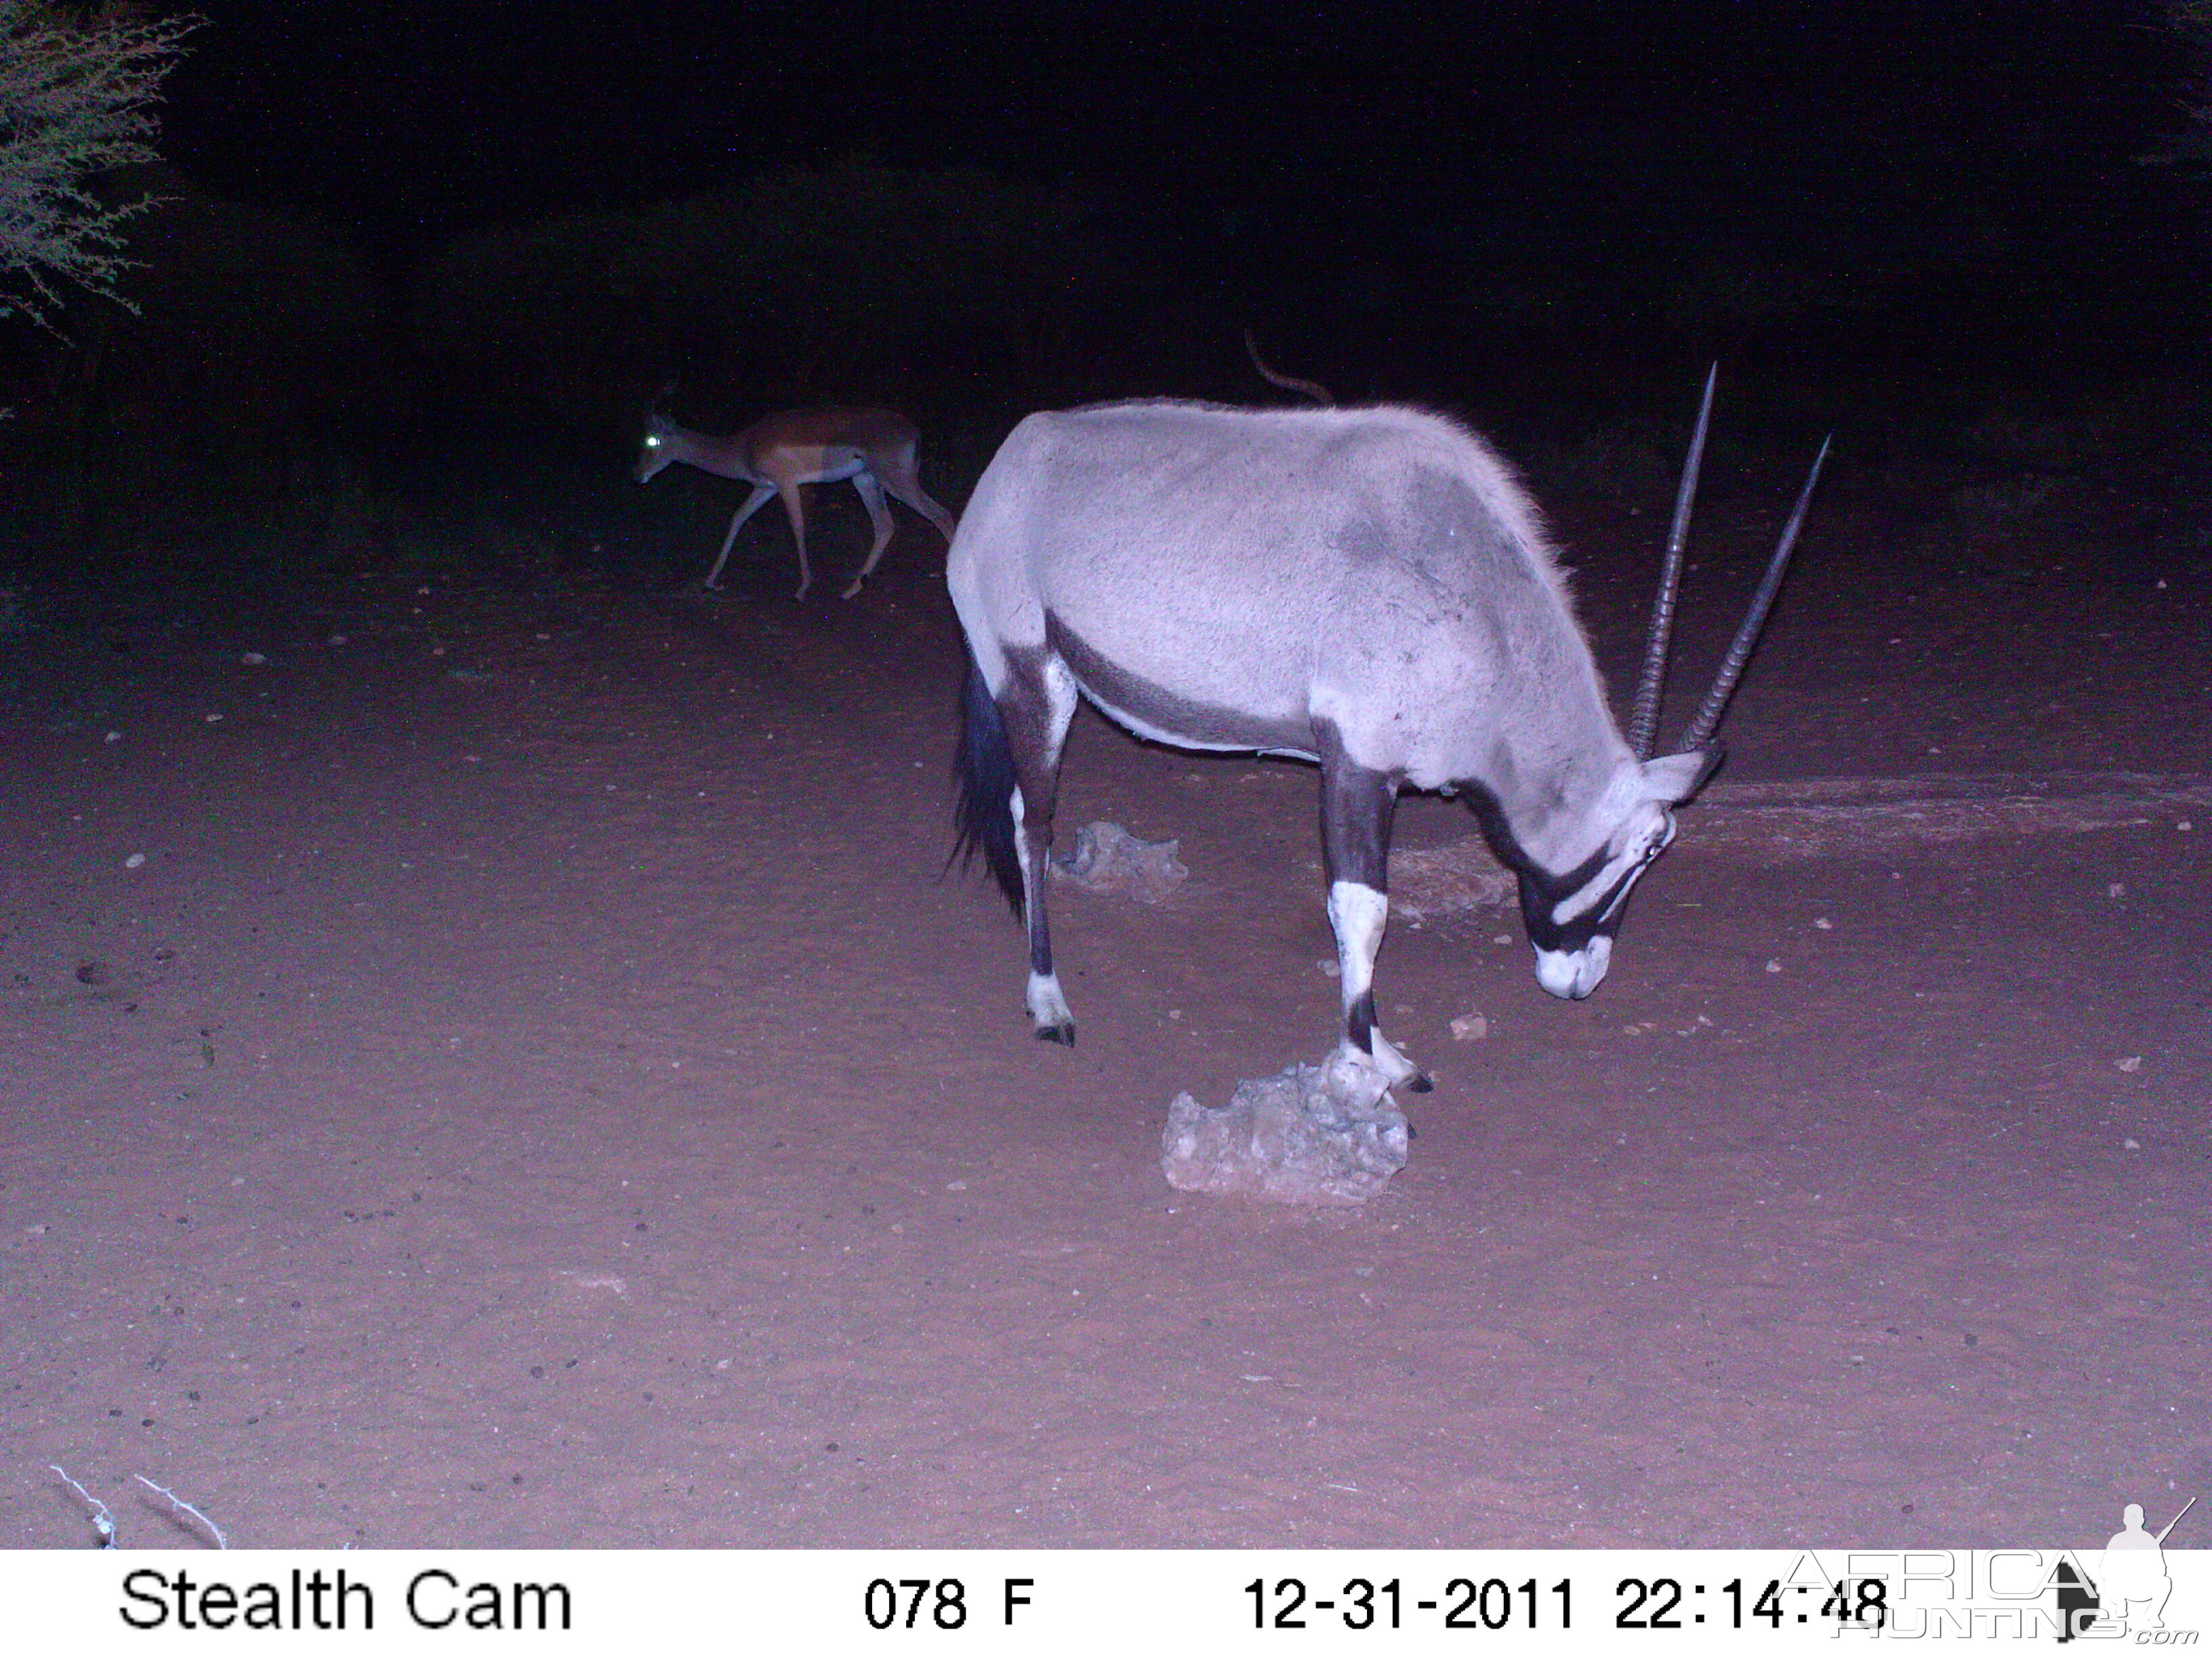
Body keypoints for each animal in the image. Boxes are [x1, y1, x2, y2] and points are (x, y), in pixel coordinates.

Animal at [632, 407, 960, 601]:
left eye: (652, 441)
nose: (637, 475)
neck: (742, 448)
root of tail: (915, 434)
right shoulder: (764, 488)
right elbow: (738, 518)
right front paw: (711, 581)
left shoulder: (787, 484)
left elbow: (798, 527)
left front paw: (803, 587)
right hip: (866, 480)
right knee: (885, 525)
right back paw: (851, 588)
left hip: (897, 481)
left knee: (941, 514)